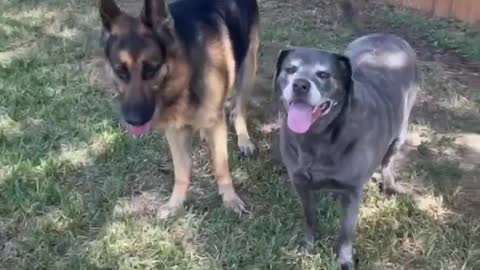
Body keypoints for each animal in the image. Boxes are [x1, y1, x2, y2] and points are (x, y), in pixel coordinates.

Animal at [96, 0, 258, 218]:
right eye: (120, 71)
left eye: (151, 69)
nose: (134, 121)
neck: (184, 71)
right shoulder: (174, 131)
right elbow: (181, 172)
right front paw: (176, 204)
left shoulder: (215, 123)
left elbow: (221, 166)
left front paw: (230, 199)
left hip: (248, 68)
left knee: (237, 109)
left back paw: (243, 139)